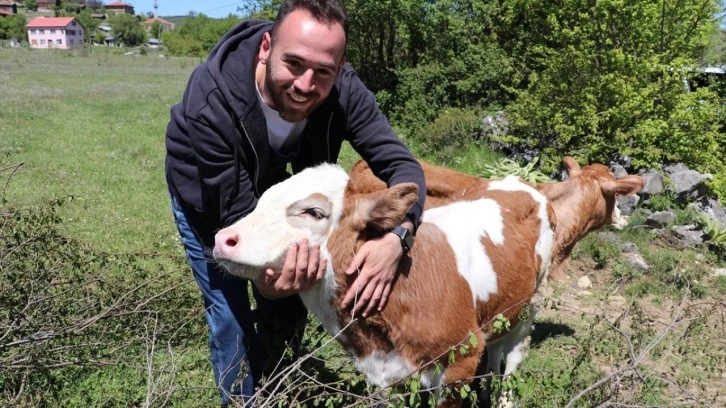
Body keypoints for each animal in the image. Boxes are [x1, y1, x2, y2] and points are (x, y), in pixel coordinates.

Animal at [213, 163, 556, 408]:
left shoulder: (461, 359)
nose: (223, 239)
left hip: (532, 303)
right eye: (262, 200)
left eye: (313, 212)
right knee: (497, 345)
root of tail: (521, 183)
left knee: (514, 357)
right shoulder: (383, 374)